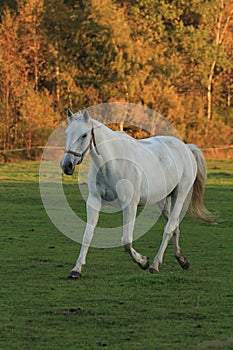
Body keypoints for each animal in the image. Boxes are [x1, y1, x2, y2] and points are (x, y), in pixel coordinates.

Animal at [60, 108, 213, 278]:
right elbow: (87, 235)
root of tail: (186, 148)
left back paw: (155, 265)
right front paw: (76, 269)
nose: (67, 165)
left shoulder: (130, 205)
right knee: (175, 226)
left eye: (84, 135)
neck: (111, 163)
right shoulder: (94, 201)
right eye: (66, 133)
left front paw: (143, 262)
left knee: (169, 228)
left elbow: (126, 241)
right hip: (163, 201)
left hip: (179, 196)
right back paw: (182, 260)